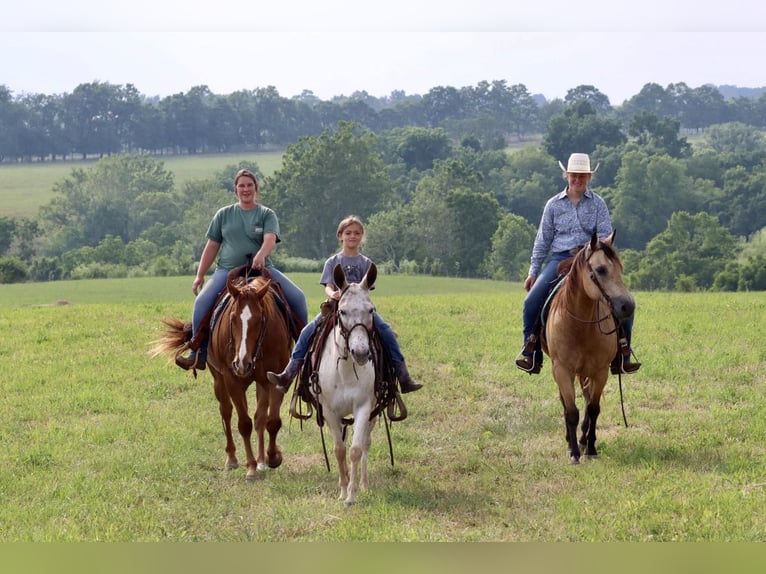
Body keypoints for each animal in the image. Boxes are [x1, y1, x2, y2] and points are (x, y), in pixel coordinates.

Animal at [316, 264, 380, 506]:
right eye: (342, 311)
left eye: (371, 310)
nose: (360, 353)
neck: (344, 371)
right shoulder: (329, 411)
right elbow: (339, 450)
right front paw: (343, 490)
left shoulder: (363, 407)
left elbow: (355, 449)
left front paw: (352, 495)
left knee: (366, 442)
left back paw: (364, 483)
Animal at [544, 232, 640, 466]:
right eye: (601, 270)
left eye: (620, 268)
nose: (628, 306)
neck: (581, 325)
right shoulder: (562, 369)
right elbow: (571, 411)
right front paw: (574, 453)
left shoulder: (600, 371)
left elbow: (593, 409)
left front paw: (591, 448)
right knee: (567, 403)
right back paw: (571, 441)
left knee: (587, 401)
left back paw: (583, 439)